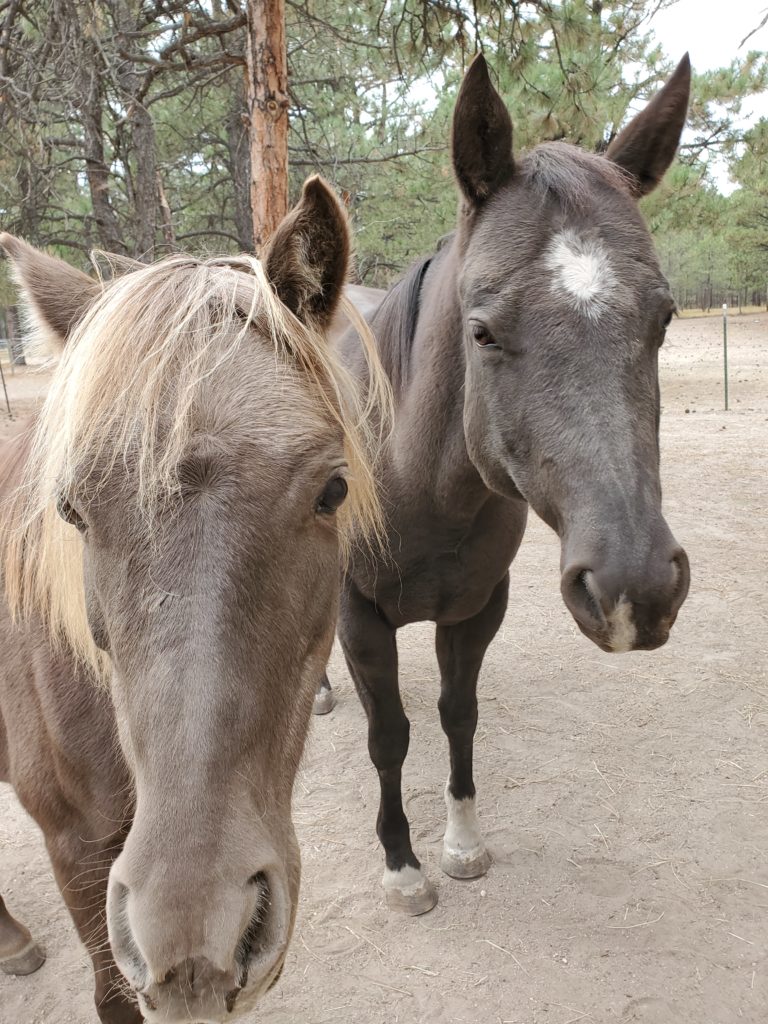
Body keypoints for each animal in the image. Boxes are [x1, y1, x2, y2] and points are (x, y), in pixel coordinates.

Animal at [323, 58, 692, 913]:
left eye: (663, 319)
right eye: (482, 330)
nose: (636, 588)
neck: (415, 482)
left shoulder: (476, 609)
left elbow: (458, 716)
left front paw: (462, 843)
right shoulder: (360, 617)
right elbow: (389, 735)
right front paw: (402, 865)